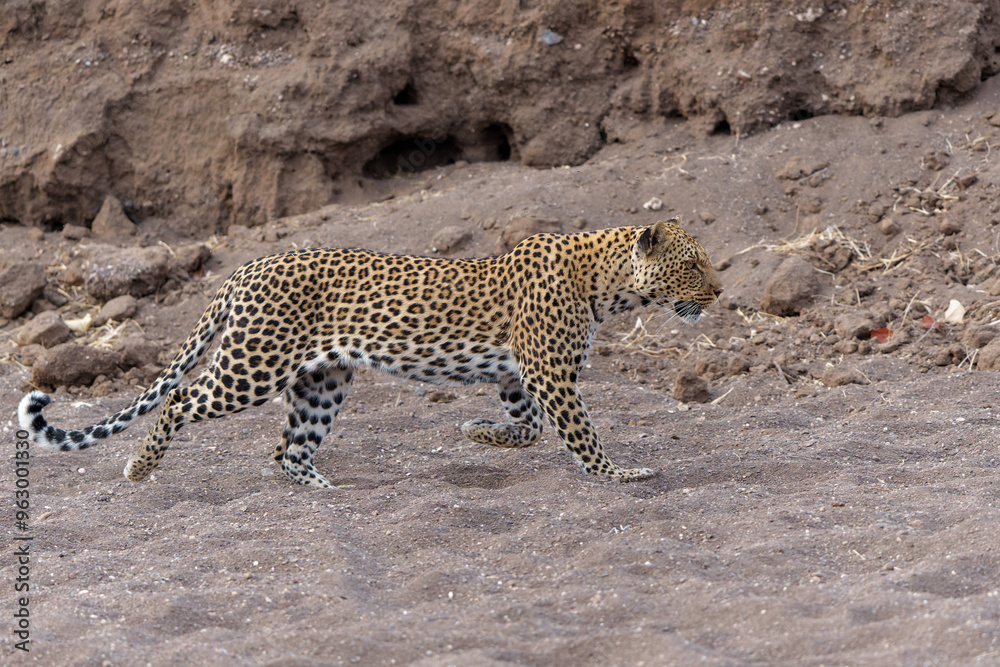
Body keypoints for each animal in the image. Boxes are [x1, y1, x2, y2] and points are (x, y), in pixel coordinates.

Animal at [18, 219, 722, 488]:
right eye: (693, 265)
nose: (718, 292)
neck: (607, 283)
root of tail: (246, 267)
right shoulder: (550, 374)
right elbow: (578, 433)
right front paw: (620, 474)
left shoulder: (520, 377)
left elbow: (528, 427)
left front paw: (477, 432)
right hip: (253, 365)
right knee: (184, 398)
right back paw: (140, 467)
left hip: (322, 381)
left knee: (288, 447)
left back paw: (320, 488)